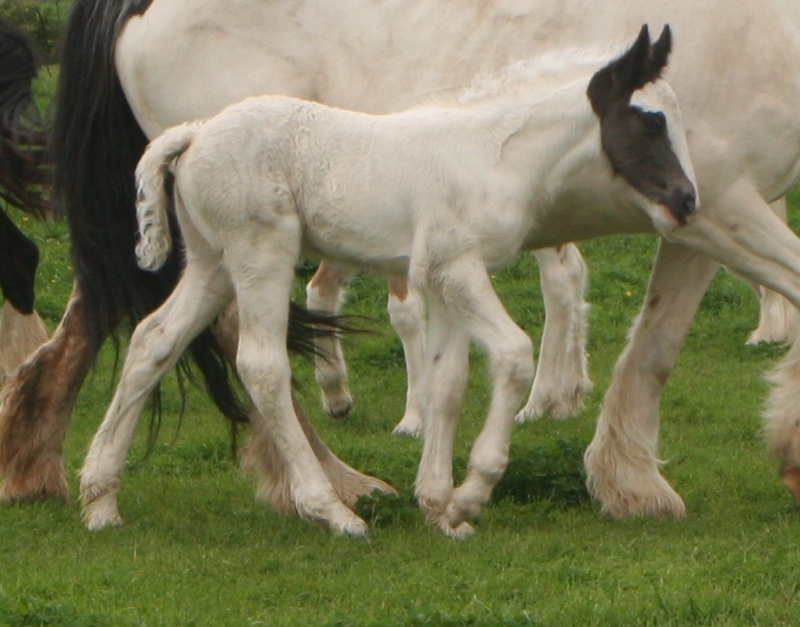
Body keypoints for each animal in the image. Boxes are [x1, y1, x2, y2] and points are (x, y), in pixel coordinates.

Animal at [4, 0, 800, 520]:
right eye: (648, 123)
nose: (683, 197)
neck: (490, 148)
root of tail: (197, 135)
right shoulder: (726, 203)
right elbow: (543, 352)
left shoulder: (442, 276)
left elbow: (450, 379)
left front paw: (441, 497)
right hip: (260, 255)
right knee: (257, 360)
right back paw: (331, 499)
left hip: (209, 261)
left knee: (147, 338)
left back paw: (83, 487)